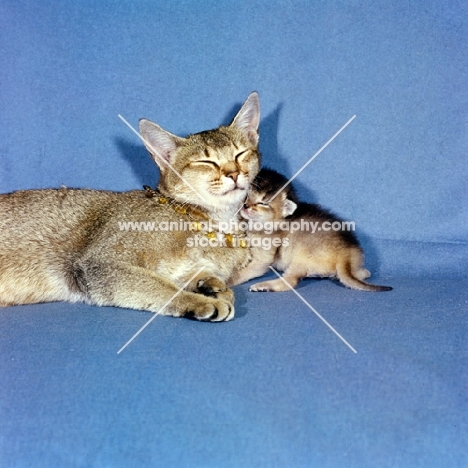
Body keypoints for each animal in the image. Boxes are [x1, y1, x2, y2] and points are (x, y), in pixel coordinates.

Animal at [0, 92, 264, 322]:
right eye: (206, 162)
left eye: (241, 153)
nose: (234, 173)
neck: (214, 223)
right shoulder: (99, 264)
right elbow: (159, 286)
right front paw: (200, 301)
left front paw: (210, 285)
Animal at [229, 168, 394, 292]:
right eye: (246, 196)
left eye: (263, 202)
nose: (245, 206)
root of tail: (345, 254)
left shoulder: (262, 260)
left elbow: (245, 271)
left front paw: (228, 280)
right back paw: (362, 272)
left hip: (300, 259)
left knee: (290, 282)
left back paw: (263, 286)